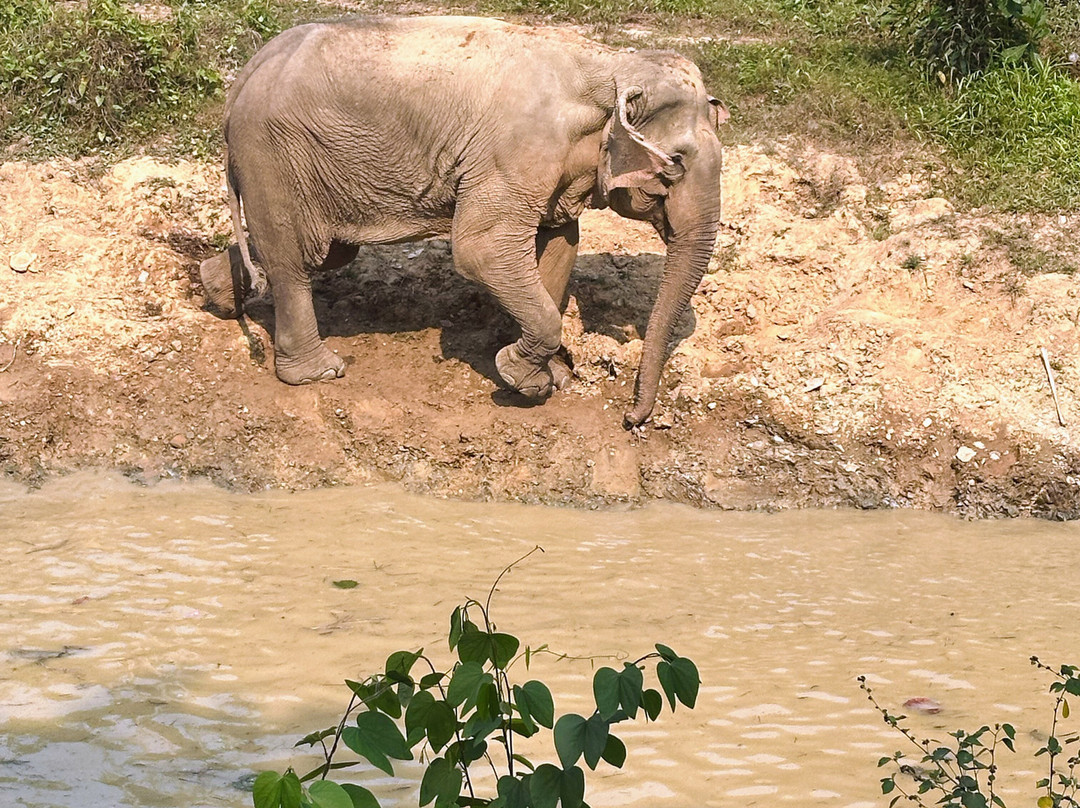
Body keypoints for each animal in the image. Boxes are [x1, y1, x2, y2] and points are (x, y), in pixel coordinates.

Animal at [199, 15, 726, 427]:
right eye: (676, 164)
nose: (632, 419)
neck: (613, 65)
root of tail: (243, 77)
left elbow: (559, 243)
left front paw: (548, 374)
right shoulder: (514, 153)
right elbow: (481, 248)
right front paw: (523, 379)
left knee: (318, 253)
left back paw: (215, 293)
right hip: (275, 155)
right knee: (298, 258)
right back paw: (319, 372)